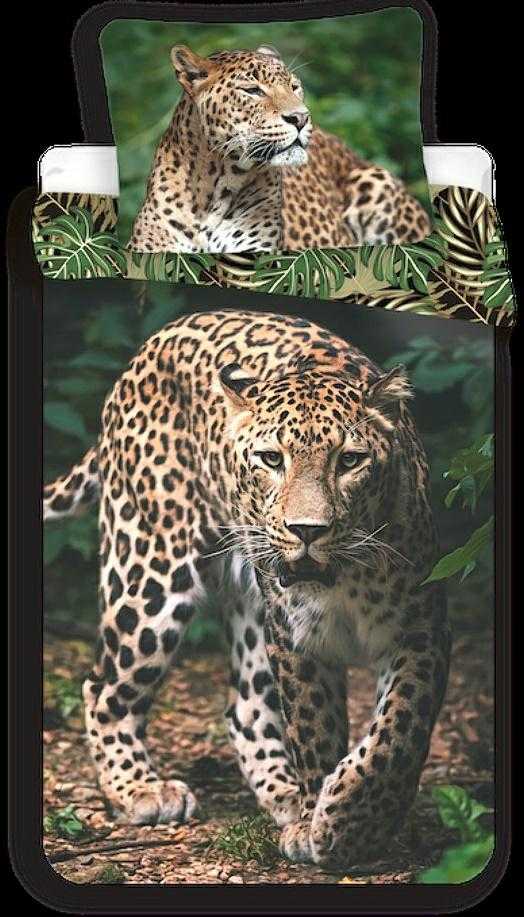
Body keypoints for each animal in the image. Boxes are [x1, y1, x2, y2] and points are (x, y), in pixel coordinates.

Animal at [44, 309, 450, 867]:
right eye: (271, 459)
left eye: (350, 461)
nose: (307, 531)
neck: (344, 578)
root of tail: (149, 346)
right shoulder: (297, 639)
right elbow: (315, 729)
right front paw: (325, 823)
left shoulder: (420, 628)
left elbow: (398, 732)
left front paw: (352, 819)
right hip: (150, 570)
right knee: (104, 686)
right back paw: (140, 789)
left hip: (250, 607)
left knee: (245, 708)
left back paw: (283, 795)